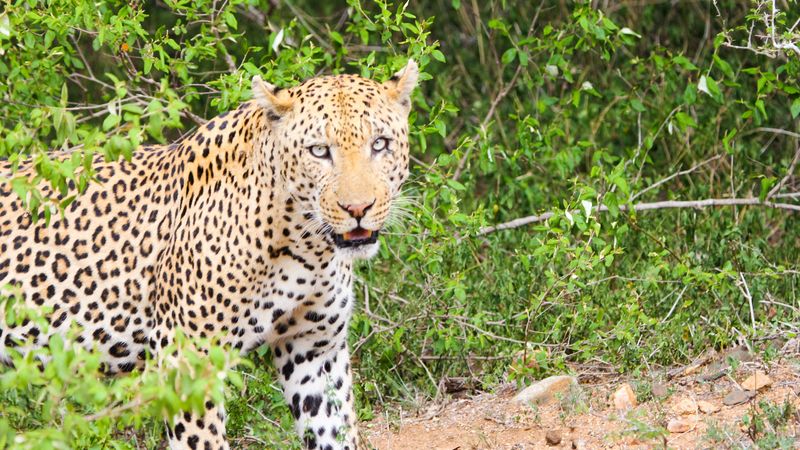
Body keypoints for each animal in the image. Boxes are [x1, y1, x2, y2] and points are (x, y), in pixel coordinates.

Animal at [0, 60, 418, 450]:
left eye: (380, 144)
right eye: (319, 151)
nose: (358, 208)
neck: (306, 245)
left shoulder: (316, 350)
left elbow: (335, 430)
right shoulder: (189, 361)